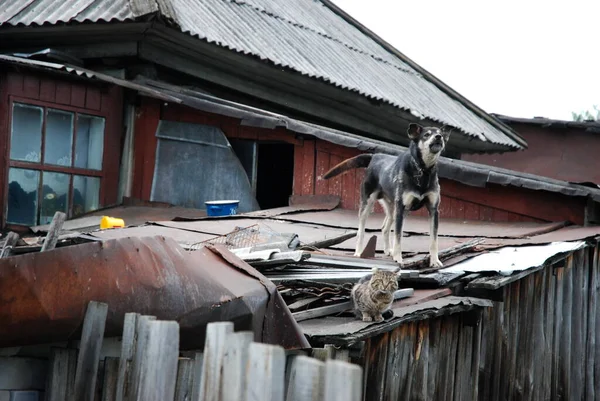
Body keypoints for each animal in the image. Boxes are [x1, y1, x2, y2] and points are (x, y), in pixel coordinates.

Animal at [324, 123, 450, 268]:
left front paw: (435, 261)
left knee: (384, 228)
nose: (438, 137)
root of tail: (374, 157)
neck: (423, 170)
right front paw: (398, 258)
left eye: (440, 133)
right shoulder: (401, 208)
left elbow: (434, 240)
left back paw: (388, 250)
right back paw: (359, 251)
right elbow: (398, 236)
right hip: (369, 204)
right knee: (361, 230)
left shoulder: (433, 210)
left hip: (393, 209)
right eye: (427, 134)